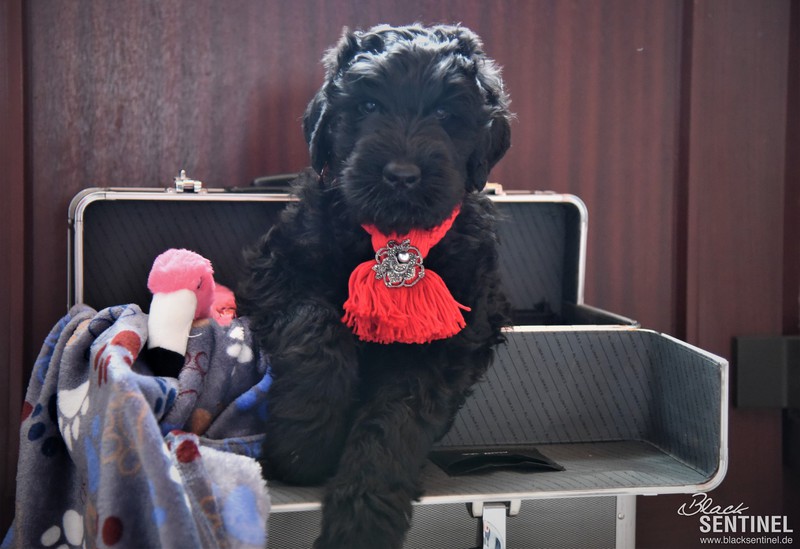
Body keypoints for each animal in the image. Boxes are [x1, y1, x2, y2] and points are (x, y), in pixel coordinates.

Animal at [237, 23, 512, 549]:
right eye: (367, 106)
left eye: (445, 113)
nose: (401, 176)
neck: (394, 234)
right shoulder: (279, 270)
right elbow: (317, 328)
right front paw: (304, 443)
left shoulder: (446, 341)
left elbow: (395, 421)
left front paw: (362, 517)